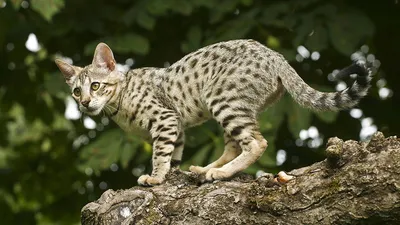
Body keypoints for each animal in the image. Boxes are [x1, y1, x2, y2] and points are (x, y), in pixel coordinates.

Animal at [54, 39, 372, 185]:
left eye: (96, 85)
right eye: (76, 91)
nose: (85, 103)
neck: (119, 101)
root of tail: (276, 55)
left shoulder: (165, 119)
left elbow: (160, 154)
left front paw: (155, 178)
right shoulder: (177, 126)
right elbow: (174, 156)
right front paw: (172, 173)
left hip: (222, 99)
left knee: (256, 143)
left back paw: (219, 173)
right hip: (235, 105)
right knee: (235, 144)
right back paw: (205, 168)